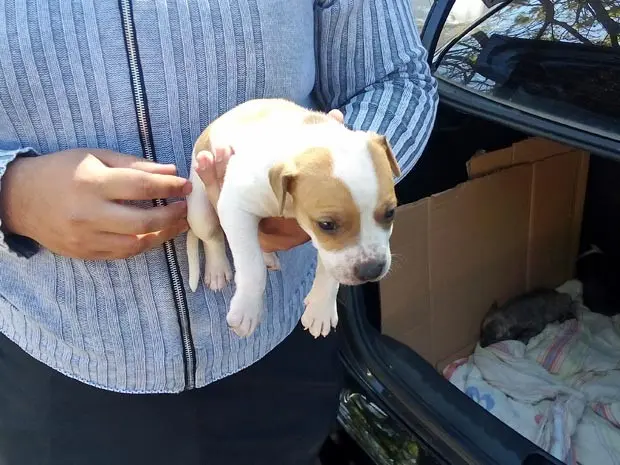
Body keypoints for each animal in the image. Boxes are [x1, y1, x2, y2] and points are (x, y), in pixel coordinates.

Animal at [184, 98, 400, 338]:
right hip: (199, 210)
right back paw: (217, 269)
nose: (372, 270)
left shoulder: (328, 248)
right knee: (212, 237)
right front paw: (247, 309)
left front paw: (321, 308)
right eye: (327, 224)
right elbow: (252, 266)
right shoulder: (235, 206)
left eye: (390, 212)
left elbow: (330, 267)